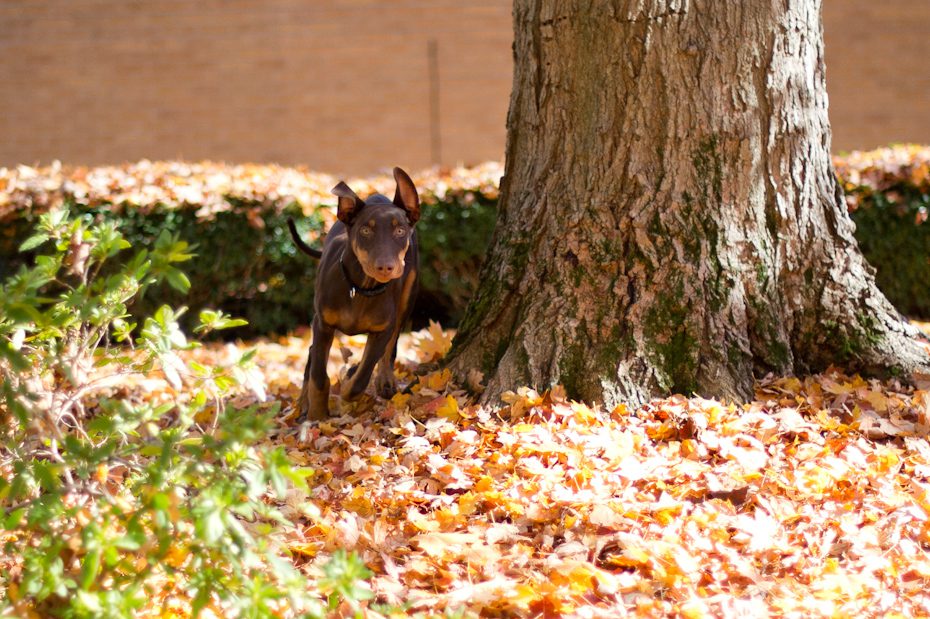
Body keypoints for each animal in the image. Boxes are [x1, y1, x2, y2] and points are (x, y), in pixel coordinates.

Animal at [284, 167, 418, 418]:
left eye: (400, 230)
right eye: (365, 230)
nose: (386, 267)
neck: (361, 288)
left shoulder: (382, 329)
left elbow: (363, 375)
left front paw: (348, 384)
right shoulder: (323, 324)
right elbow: (319, 375)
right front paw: (317, 415)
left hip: (408, 296)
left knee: (390, 347)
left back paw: (384, 380)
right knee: (312, 354)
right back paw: (303, 403)